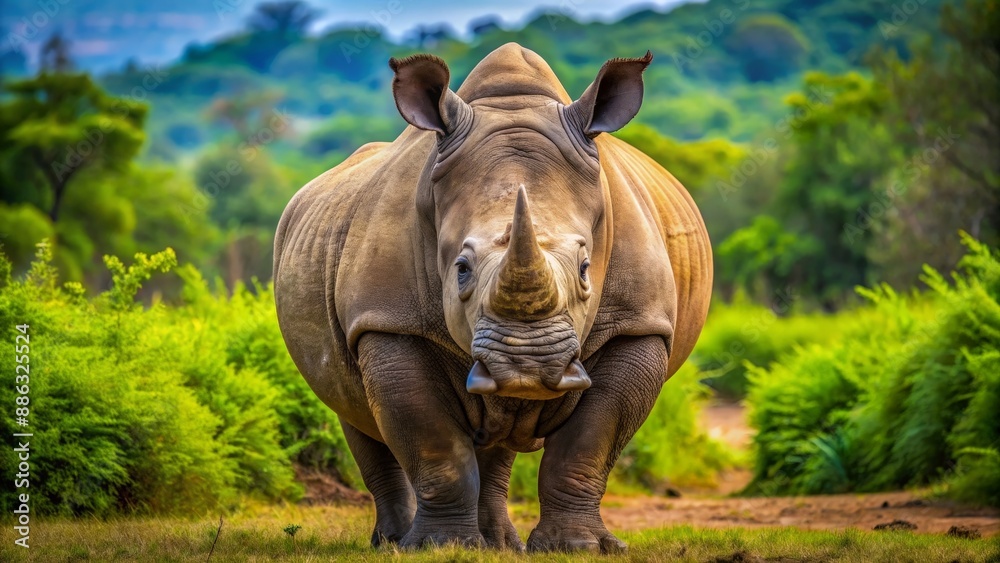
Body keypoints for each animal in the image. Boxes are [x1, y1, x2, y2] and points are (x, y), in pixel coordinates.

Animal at [274, 43, 712, 553]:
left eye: (586, 268)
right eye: (461, 269)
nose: (525, 364)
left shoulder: (638, 323)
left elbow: (589, 443)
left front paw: (579, 547)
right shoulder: (388, 319)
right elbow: (433, 444)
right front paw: (439, 547)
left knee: (500, 431)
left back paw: (500, 543)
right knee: (356, 414)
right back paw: (393, 542)